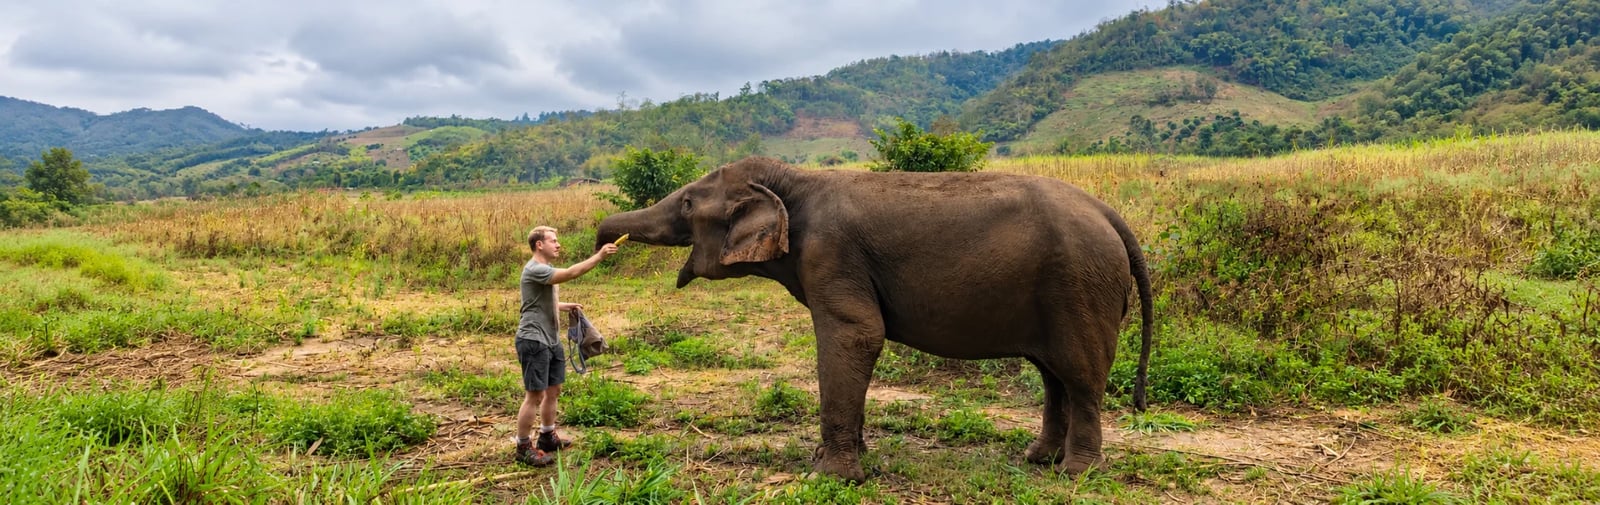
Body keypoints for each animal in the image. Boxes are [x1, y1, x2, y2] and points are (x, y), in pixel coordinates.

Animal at [595, 156, 1152, 481]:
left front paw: (831, 477)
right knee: (1053, 375)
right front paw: (837, 463)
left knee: (1079, 376)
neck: (795, 180)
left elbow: (857, 335)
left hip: (1080, 286)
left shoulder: (832, 254)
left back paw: (1077, 474)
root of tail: (1110, 214)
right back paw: (1038, 460)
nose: (604, 243)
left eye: (689, 203)